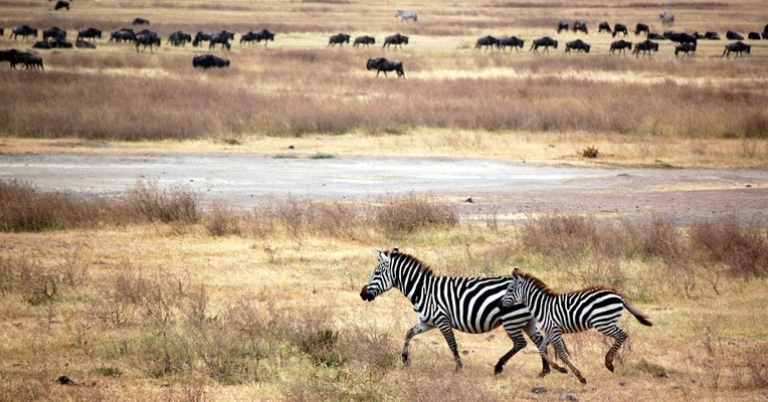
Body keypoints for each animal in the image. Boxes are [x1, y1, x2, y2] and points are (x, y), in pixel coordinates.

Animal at [359, 248, 567, 376]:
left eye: (376, 273)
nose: (362, 294)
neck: (422, 290)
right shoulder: (427, 322)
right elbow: (408, 333)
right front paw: (405, 360)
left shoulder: (442, 319)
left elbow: (452, 344)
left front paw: (458, 368)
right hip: (526, 321)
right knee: (539, 341)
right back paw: (544, 371)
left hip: (511, 320)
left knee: (521, 343)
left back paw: (499, 366)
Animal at [499, 268, 653, 384]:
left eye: (510, 290)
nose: (500, 307)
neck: (542, 306)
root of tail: (618, 296)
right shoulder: (550, 331)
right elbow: (542, 349)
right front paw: (560, 369)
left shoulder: (555, 331)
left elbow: (562, 354)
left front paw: (579, 376)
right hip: (606, 322)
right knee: (622, 335)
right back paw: (609, 362)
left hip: (603, 323)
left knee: (622, 335)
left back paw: (608, 362)